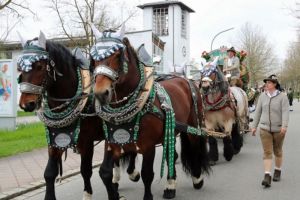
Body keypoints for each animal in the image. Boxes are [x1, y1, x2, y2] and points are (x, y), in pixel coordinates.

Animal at [18, 32, 140, 200]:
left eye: (39, 66)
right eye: (20, 68)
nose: (26, 104)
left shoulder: (87, 141)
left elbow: (87, 170)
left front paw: (90, 193)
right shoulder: (55, 140)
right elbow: (50, 173)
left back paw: (132, 173)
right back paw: (116, 180)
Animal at [90, 23, 210, 200]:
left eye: (118, 55)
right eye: (93, 58)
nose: (100, 93)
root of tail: (187, 81)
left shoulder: (148, 146)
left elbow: (147, 174)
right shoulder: (112, 143)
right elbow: (105, 172)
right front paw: (115, 193)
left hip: (193, 125)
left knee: (194, 148)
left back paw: (197, 178)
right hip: (170, 130)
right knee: (170, 155)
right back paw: (170, 185)